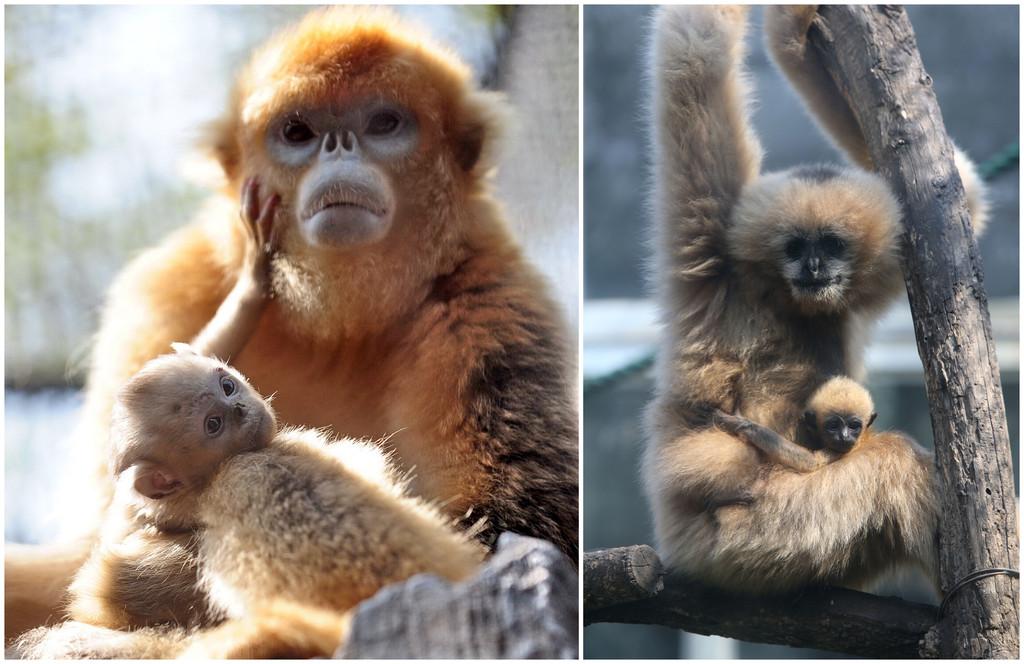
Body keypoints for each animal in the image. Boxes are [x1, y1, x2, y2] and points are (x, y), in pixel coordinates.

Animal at [7, 5, 578, 640]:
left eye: (384, 123)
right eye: (298, 132)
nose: (339, 147)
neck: (335, 325)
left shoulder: (491, 302)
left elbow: (521, 530)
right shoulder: (166, 290)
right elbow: (104, 524)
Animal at [642, 5, 972, 594]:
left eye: (832, 244)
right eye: (795, 247)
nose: (814, 268)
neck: (784, 299)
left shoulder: (874, 274)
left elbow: (955, 202)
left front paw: (795, 36)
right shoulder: (712, 249)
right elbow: (693, 55)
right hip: (754, 532)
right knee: (892, 462)